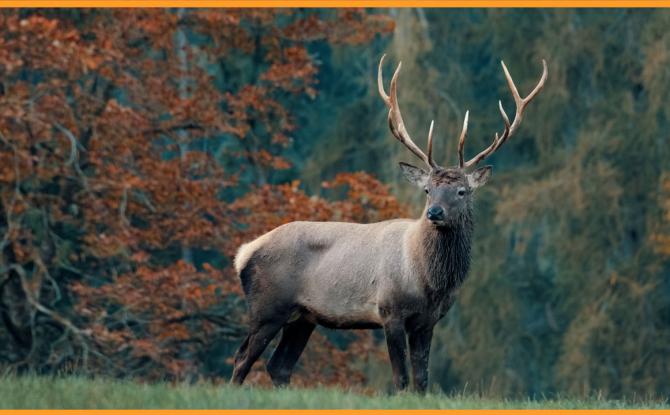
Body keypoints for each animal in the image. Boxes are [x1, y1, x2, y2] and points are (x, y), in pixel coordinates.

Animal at [230, 55, 547, 393]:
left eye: (462, 191)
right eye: (427, 190)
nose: (435, 212)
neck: (428, 280)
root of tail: (243, 254)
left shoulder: (428, 321)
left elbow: (422, 379)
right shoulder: (389, 310)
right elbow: (402, 378)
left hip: (304, 317)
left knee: (279, 366)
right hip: (267, 307)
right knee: (242, 358)